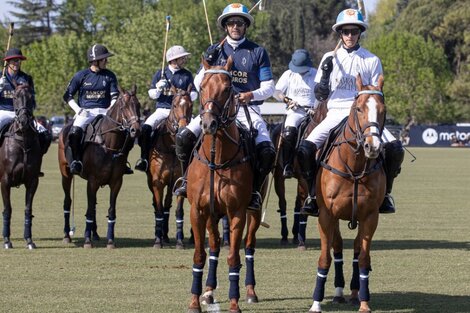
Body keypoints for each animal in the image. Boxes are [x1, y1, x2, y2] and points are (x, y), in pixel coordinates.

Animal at [58, 84, 140, 246]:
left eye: (138, 105)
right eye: (124, 106)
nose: (136, 129)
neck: (108, 144)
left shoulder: (116, 182)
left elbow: (110, 210)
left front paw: (110, 240)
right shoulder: (93, 181)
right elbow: (89, 210)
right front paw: (87, 241)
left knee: (93, 205)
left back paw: (94, 234)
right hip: (65, 173)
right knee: (67, 202)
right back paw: (67, 235)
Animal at [145, 84, 193, 247]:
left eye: (191, 105)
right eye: (174, 105)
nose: (182, 128)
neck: (171, 148)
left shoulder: (179, 182)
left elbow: (178, 211)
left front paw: (179, 241)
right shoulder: (157, 183)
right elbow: (159, 209)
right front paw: (157, 241)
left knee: (167, 204)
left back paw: (165, 235)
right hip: (151, 182)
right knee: (157, 205)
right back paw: (159, 235)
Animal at [186, 56, 258, 312]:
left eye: (227, 89)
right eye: (201, 87)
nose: (209, 124)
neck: (217, 159)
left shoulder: (237, 212)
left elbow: (234, 257)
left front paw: (234, 302)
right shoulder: (198, 211)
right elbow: (200, 255)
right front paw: (195, 300)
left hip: (253, 212)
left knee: (249, 246)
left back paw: (250, 291)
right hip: (212, 215)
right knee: (215, 246)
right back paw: (208, 292)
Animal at [308, 73, 386, 312]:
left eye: (383, 109)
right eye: (358, 108)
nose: (373, 147)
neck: (355, 165)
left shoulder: (370, 216)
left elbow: (364, 258)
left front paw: (364, 303)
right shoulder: (326, 215)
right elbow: (325, 258)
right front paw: (316, 303)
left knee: (356, 249)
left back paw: (353, 292)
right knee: (338, 246)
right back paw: (339, 292)